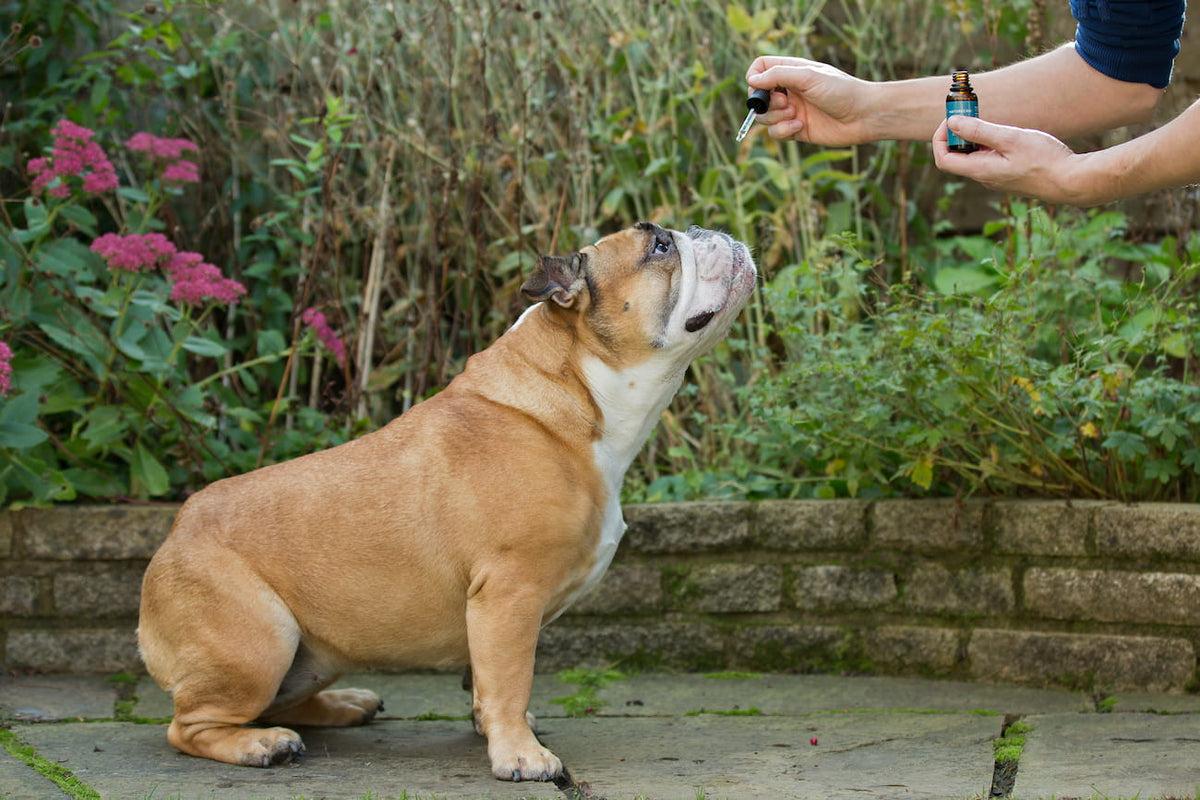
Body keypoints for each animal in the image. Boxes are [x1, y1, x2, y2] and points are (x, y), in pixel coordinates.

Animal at [140, 224, 753, 782]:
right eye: (660, 247)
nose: (708, 230)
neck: (578, 389)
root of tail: (176, 531)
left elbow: (485, 681)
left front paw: (495, 731)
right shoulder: (509, 594)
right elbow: (510, 678)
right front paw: (520, 756)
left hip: (311, 654)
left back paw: (343, 705)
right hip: (260, 643)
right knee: (189, 727)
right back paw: (261, 745)